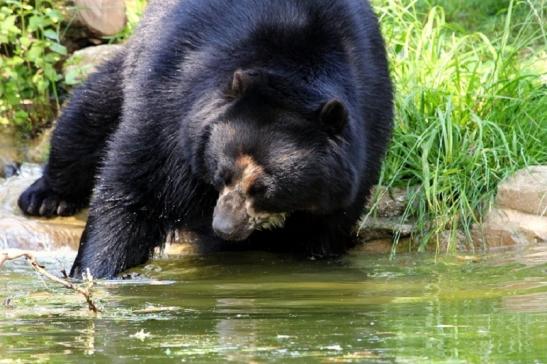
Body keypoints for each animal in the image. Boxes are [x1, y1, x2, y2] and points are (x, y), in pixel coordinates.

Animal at [18, 0, 394, 278]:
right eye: (222, 173)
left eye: (264, 189)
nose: (224, 226)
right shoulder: (176, 96)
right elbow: (135, 184)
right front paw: (93, 272)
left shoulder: (365, 133)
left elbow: (327, 223)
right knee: (91, 110)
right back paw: (45, 198)